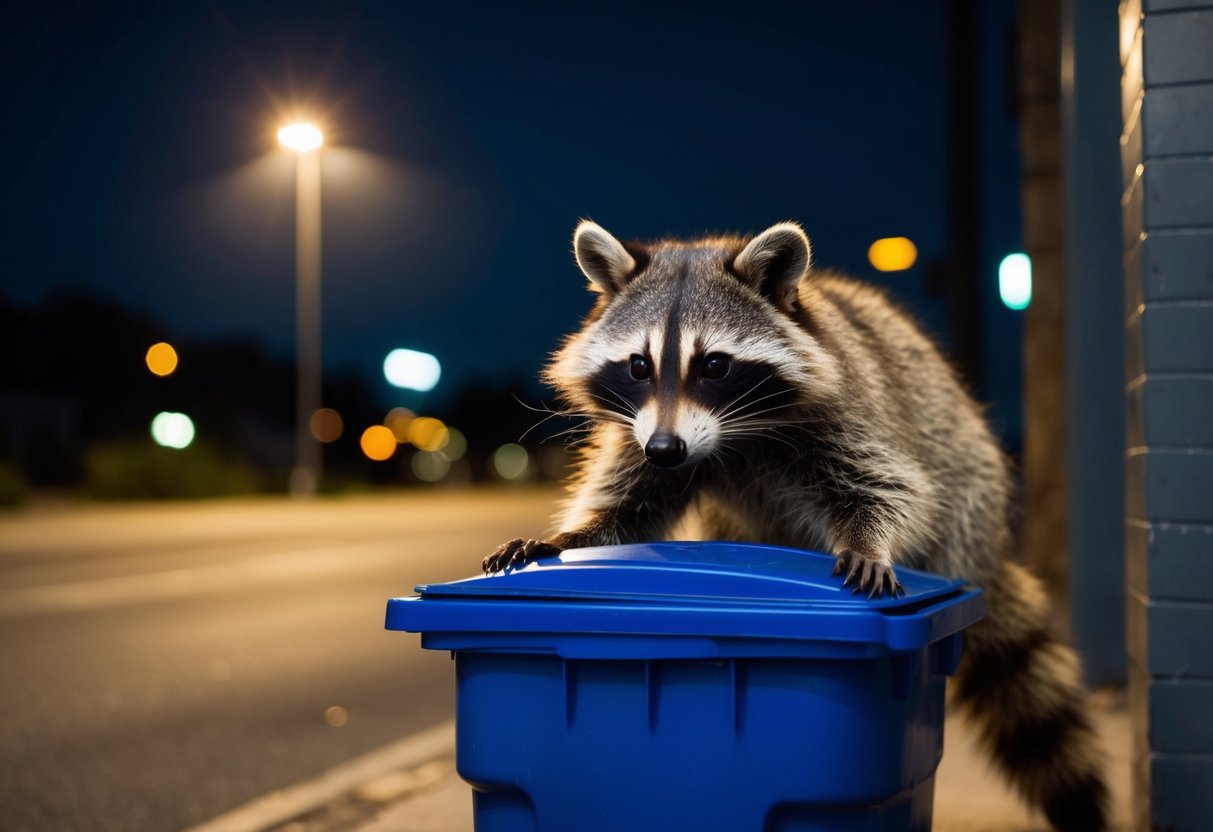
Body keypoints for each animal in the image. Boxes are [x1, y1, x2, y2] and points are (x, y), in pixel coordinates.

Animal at [484, 221, 1108, 831]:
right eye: (639, 365)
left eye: (714, 365)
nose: (665, 449)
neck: (734, 436)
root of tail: (988, 551)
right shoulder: (640, 434)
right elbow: (628, 508)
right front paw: (567, 538)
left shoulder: (847, 410)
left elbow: (889, 485)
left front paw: (868, 540)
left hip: (968, 484)